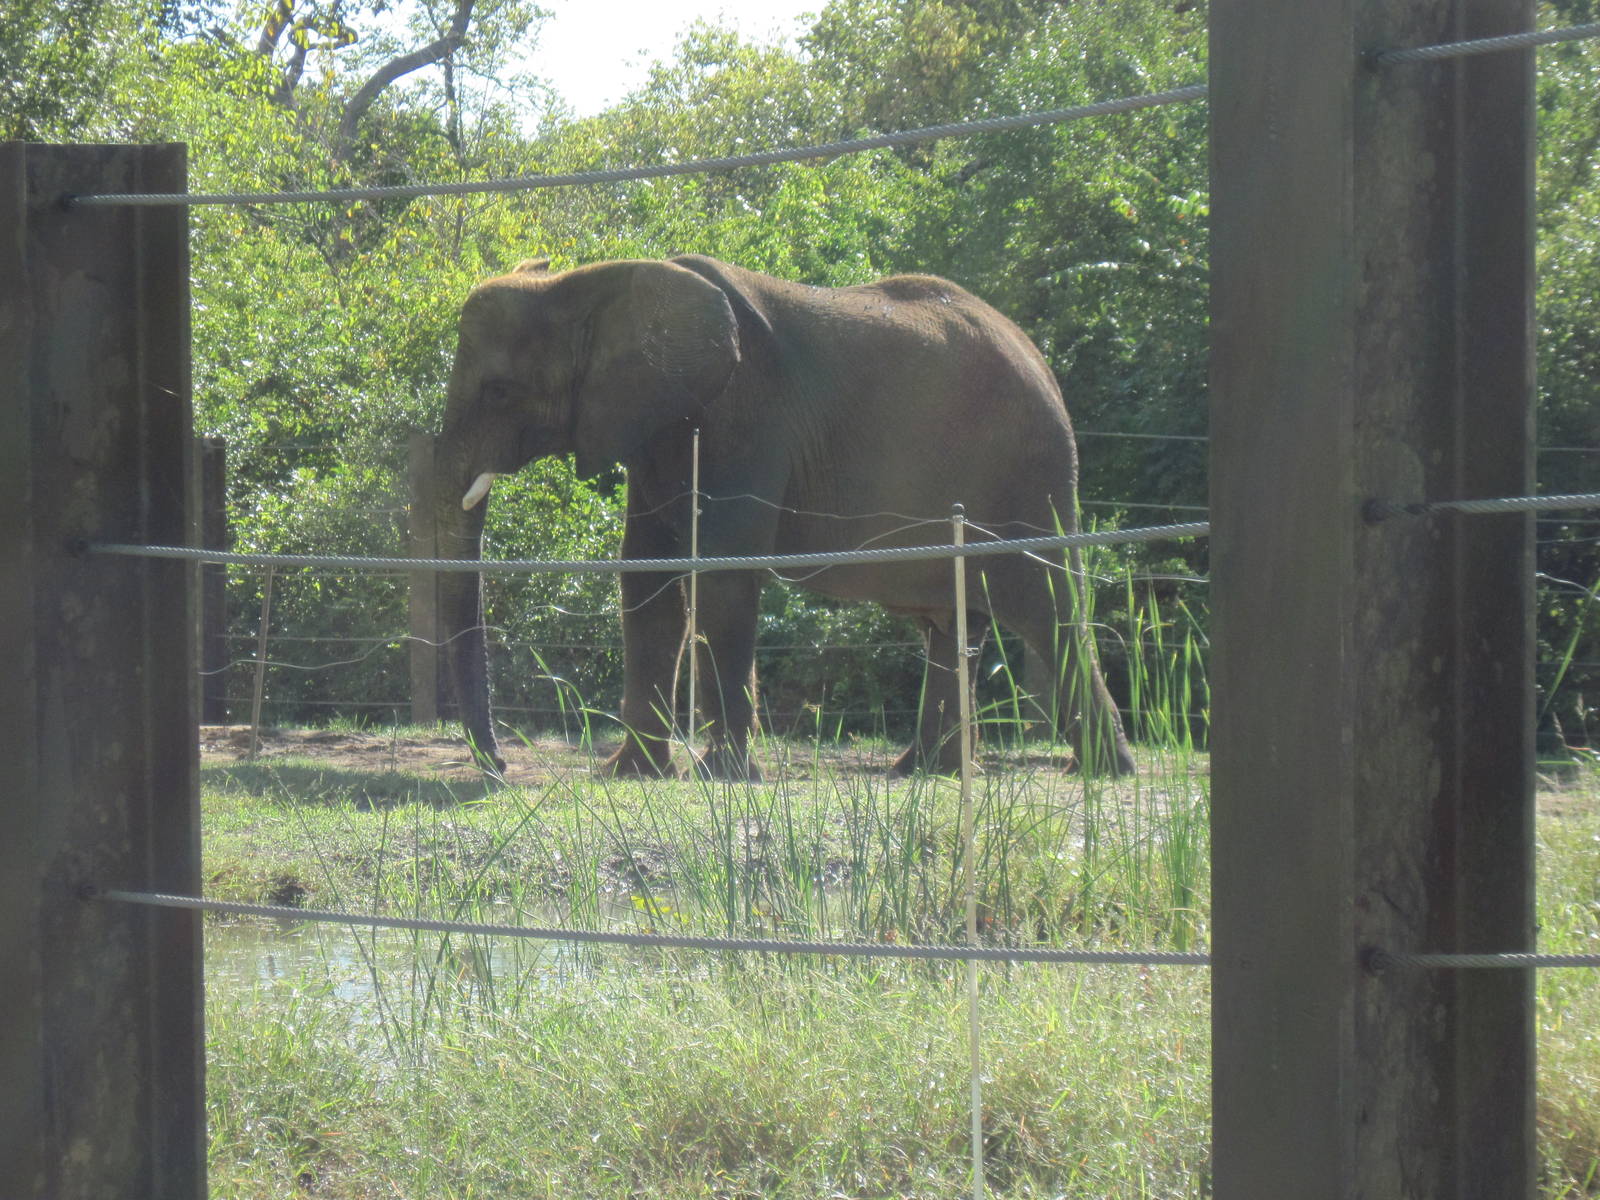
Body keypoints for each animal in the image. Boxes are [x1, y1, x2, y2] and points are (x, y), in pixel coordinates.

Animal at [432, 254, 1136, 780]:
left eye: (498, 390)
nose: (499, 767)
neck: (592, 281)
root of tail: (1038, 358)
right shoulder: (654, 429)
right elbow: (646, 579)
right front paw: (632, 775)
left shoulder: (744, 417)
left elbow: (722, 577)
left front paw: (722, 778)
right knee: (954, 624)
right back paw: (923, 771)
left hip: (1029, 478)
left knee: (1047, 608)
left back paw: (1102, 771)